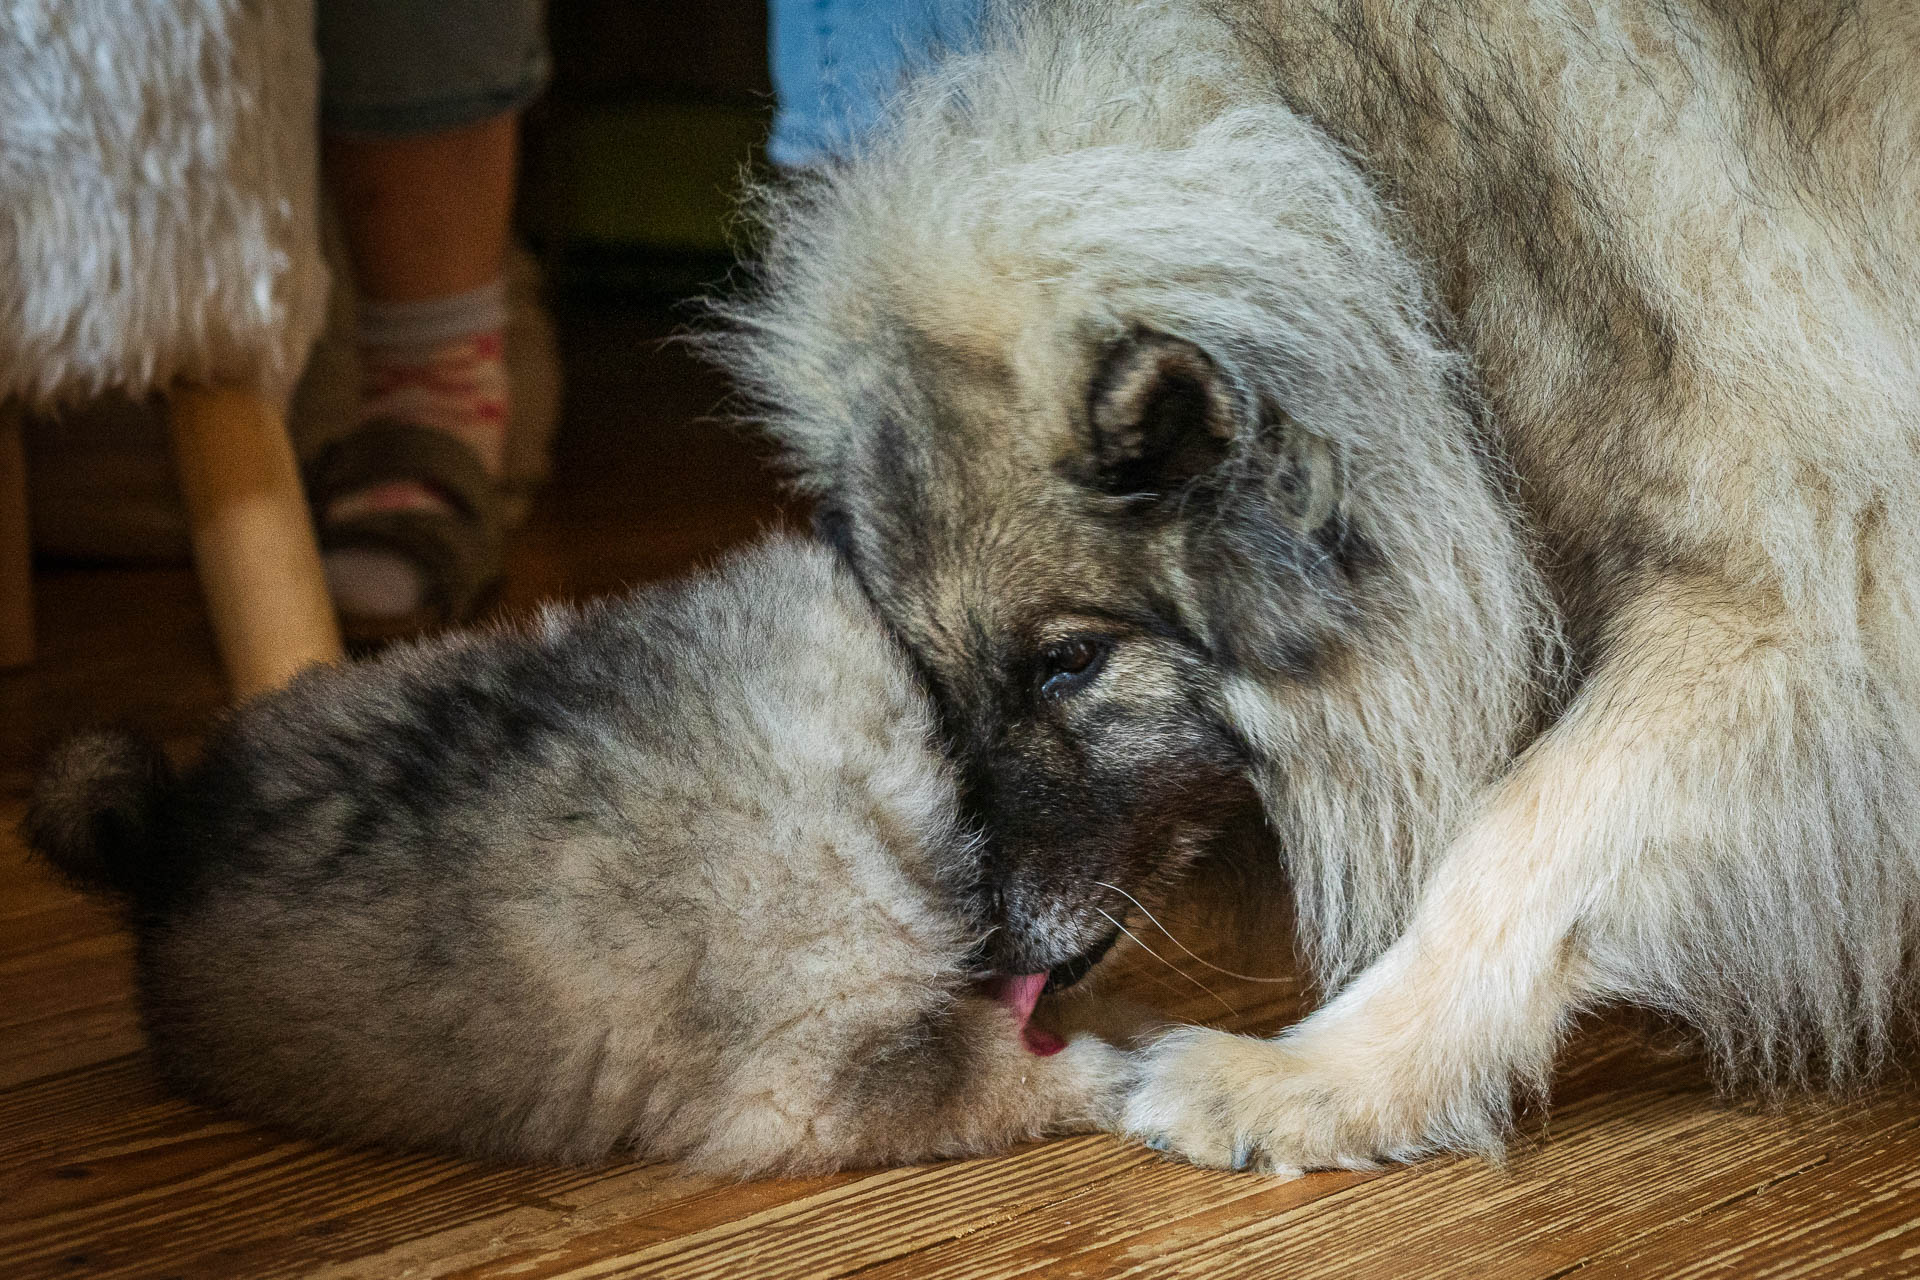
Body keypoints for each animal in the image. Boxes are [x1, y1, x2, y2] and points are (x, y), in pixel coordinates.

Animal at [714, 0, 1920, 1174]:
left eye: (1071, 661)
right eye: (931, 676)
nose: (978, 953)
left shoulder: (1799, 595)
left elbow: (1520, 845)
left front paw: (1324, 1077)